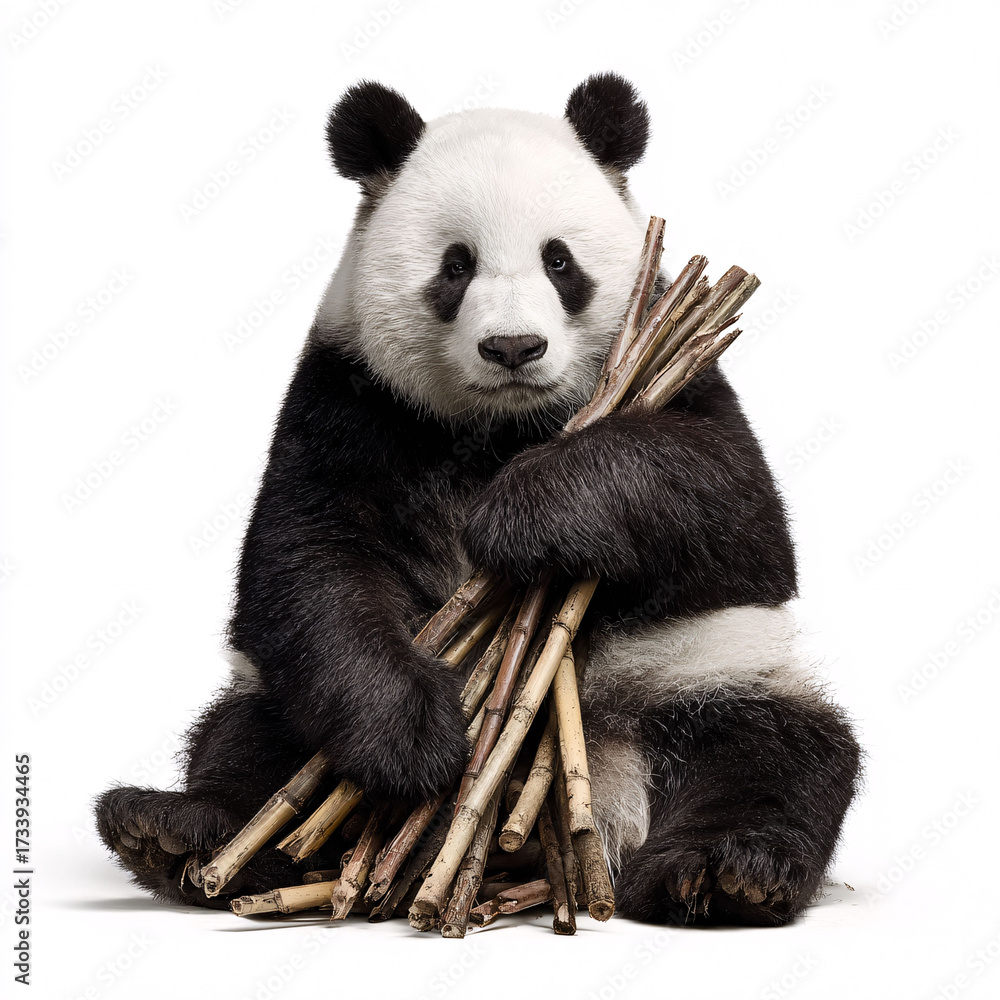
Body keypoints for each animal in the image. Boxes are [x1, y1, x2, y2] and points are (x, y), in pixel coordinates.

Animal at [95, 73, 861, 926]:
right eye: (455, 266)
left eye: (559, 260)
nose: (514, 348)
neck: (499, 425)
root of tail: (596, 815)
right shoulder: (350, 398)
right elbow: (306, 559)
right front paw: (413, 738)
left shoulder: (682, 364)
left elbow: (734, 507)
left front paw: (523, 515)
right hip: (278, 707)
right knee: (247, 742)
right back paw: (175, 831)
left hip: (707, 675)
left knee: (775, 753)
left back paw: (723, 874)